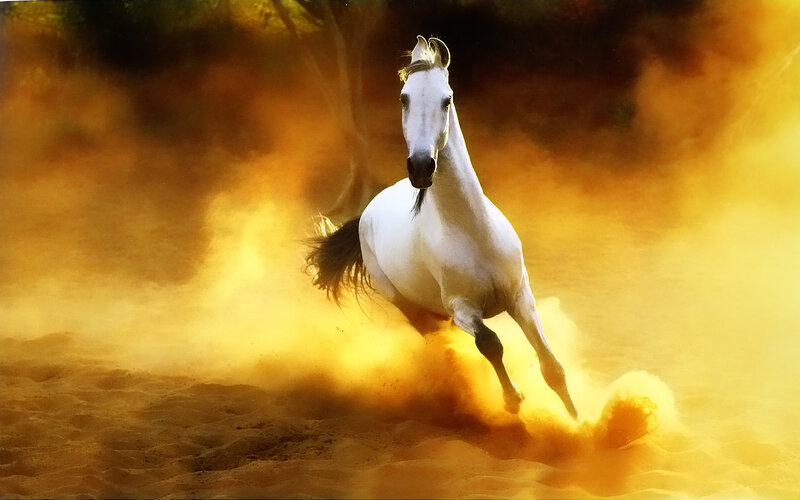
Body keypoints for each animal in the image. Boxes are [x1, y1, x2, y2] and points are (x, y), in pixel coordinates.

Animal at [306, 36, 577, 418]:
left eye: (446, 99)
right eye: (403, 97)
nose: (421, 167)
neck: (472, 232)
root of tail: (368, 211)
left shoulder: (520, 295)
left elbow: (551, 366)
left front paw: (579, 421)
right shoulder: (461, 307)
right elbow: (490, 343)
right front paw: (513, 400)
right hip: (412, 308)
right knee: (440, 342)